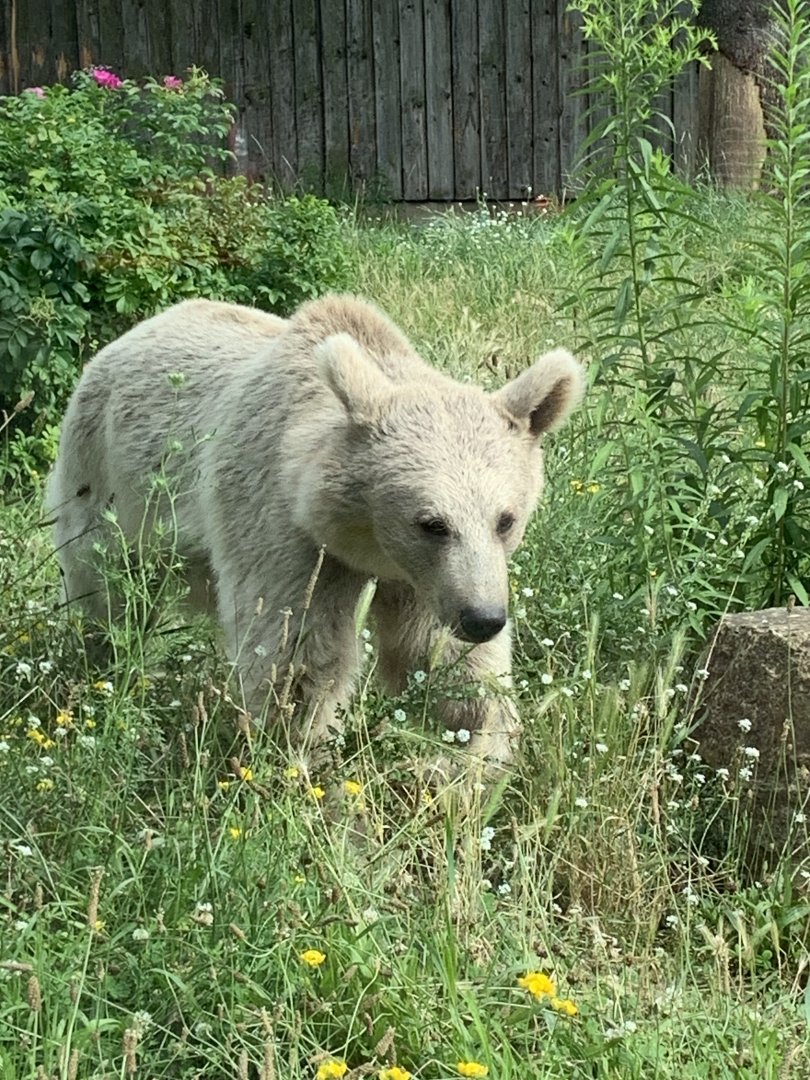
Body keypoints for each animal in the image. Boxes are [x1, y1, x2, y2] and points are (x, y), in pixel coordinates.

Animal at [46, 294, 584, 766]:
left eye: (505, 519)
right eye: (432, 523)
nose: (483, 618)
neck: (363, 543)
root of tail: (129, 336)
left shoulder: (423, 580)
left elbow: (438, 655)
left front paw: (472, 753)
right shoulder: (282, 526)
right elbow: (297, 652)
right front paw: (303, 756)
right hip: (105, 477)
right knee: (105, 589)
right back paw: (104, 664)